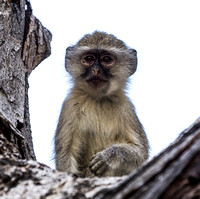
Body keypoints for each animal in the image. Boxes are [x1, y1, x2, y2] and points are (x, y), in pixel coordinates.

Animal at [54, 31, 148, 177]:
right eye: (89, 58)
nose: (96, 70)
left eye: (107, 60)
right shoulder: (69, 106)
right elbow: (65, 154)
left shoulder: (127, 108)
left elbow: (142, 155)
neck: (98, 100)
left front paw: (109, 156)